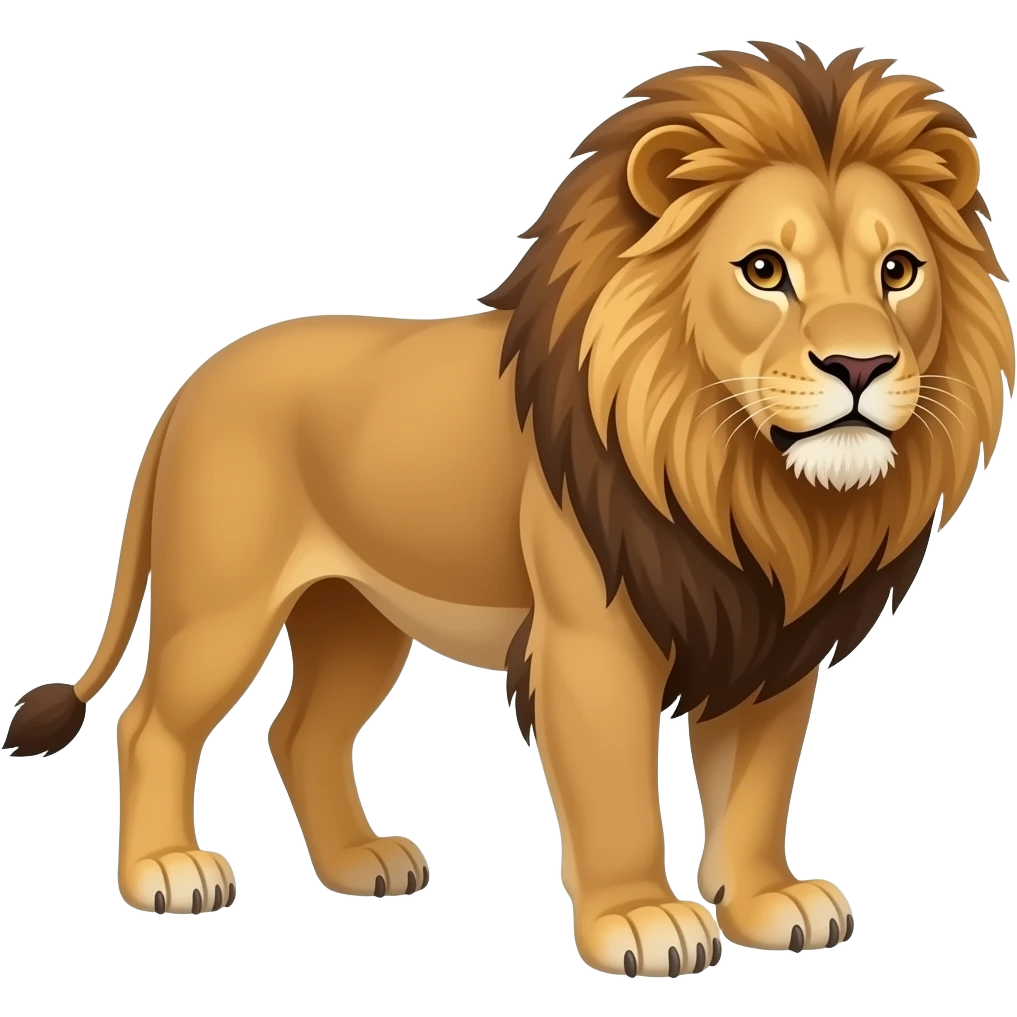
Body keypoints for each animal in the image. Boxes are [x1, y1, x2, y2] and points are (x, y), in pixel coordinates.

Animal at [3, 42, 1013, 976]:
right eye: (764, 270)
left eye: (898, 269)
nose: (860, 365)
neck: (744, 482)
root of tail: (187, 386)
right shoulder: (590, 645)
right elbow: (616, 796)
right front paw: (641, 921)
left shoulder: (767, 637)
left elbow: (755, 787)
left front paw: (767, 903)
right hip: (222, 606)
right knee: (151, 722)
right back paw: (167, 872)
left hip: (357, 613)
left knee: (299, 730)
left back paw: (360, 864)